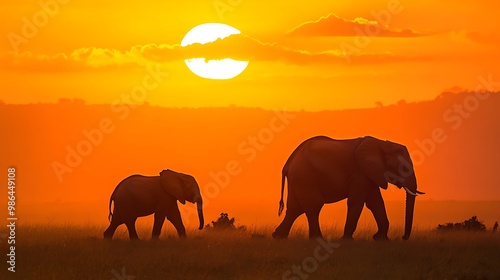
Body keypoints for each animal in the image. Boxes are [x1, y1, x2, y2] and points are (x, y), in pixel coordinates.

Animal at [272, 136, 424, 241]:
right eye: (403, 168)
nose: (403, 237)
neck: (382, 144)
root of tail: (288, 163)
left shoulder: (370, 173)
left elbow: (376, 202)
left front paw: (381, 239)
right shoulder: (360, 172)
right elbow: (357, 202)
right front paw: (347, 240)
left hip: (298, 179)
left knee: (295, 208)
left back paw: (278, 237)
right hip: (305, 177)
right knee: (313, 206)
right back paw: (316, 238)